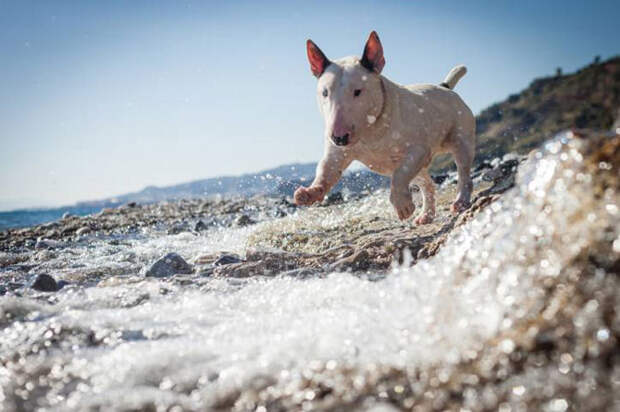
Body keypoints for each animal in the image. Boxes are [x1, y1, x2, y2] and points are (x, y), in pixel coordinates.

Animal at [296, 31, 474, 225]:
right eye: (325, 93)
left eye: (358, 91)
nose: (339, 138)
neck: (371, 132)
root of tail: (445, 87)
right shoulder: (337, 154)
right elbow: (326, 169)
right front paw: (309, 193)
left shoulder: (418, 150)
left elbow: (400, 175)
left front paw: (402, 206)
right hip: (420, 169)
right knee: (427, 184)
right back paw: (426, 215)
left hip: (461, 138)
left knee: (463, 170)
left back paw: (461, 201)